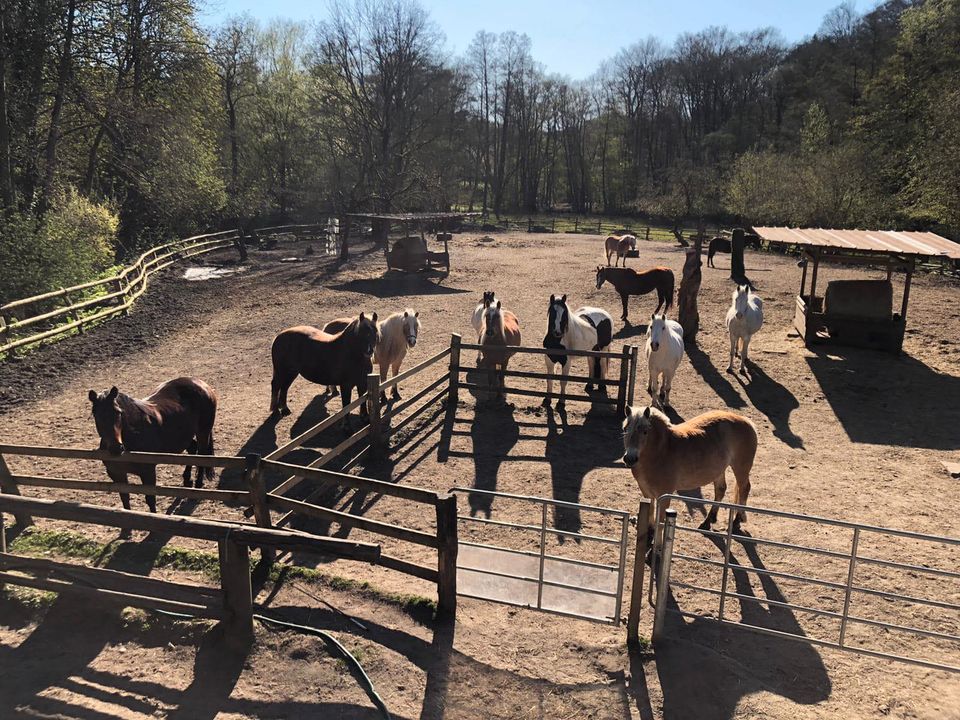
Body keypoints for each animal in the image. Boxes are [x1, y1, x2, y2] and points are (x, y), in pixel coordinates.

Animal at [87, 376, 218, 512]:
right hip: (184, 436)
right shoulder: (117, 474)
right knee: (193, 450)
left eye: (118, 412)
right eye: (96, 415)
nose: (116, 448)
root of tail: (201, 383)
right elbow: (125, 500)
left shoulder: (148, 473)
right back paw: (187, 480)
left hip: (203, 432)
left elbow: (151, 500)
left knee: (202, 455)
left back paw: (198, 486)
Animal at [624, 404, 756, 536]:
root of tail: (746, 420)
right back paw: (707, 522)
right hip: (719, 470)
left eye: (645, 432)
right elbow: (650, 513)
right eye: (625, 429)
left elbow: (660, 523)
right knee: (721, 489)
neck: (662, 450)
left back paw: (737, 520)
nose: (630, 458)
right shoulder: (646, 491)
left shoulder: (664, 495)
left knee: (744, 488)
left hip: (741, 468)